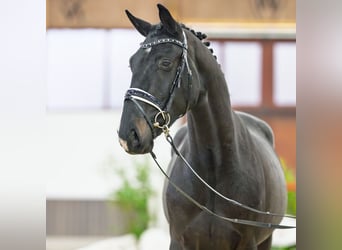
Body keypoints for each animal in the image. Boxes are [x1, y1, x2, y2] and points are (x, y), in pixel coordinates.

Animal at [119, 4, 288, 250]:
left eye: (165, 63)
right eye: (132, 63)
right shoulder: (179, 240)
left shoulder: (247, 242)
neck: (213, 171)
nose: (128, 135)